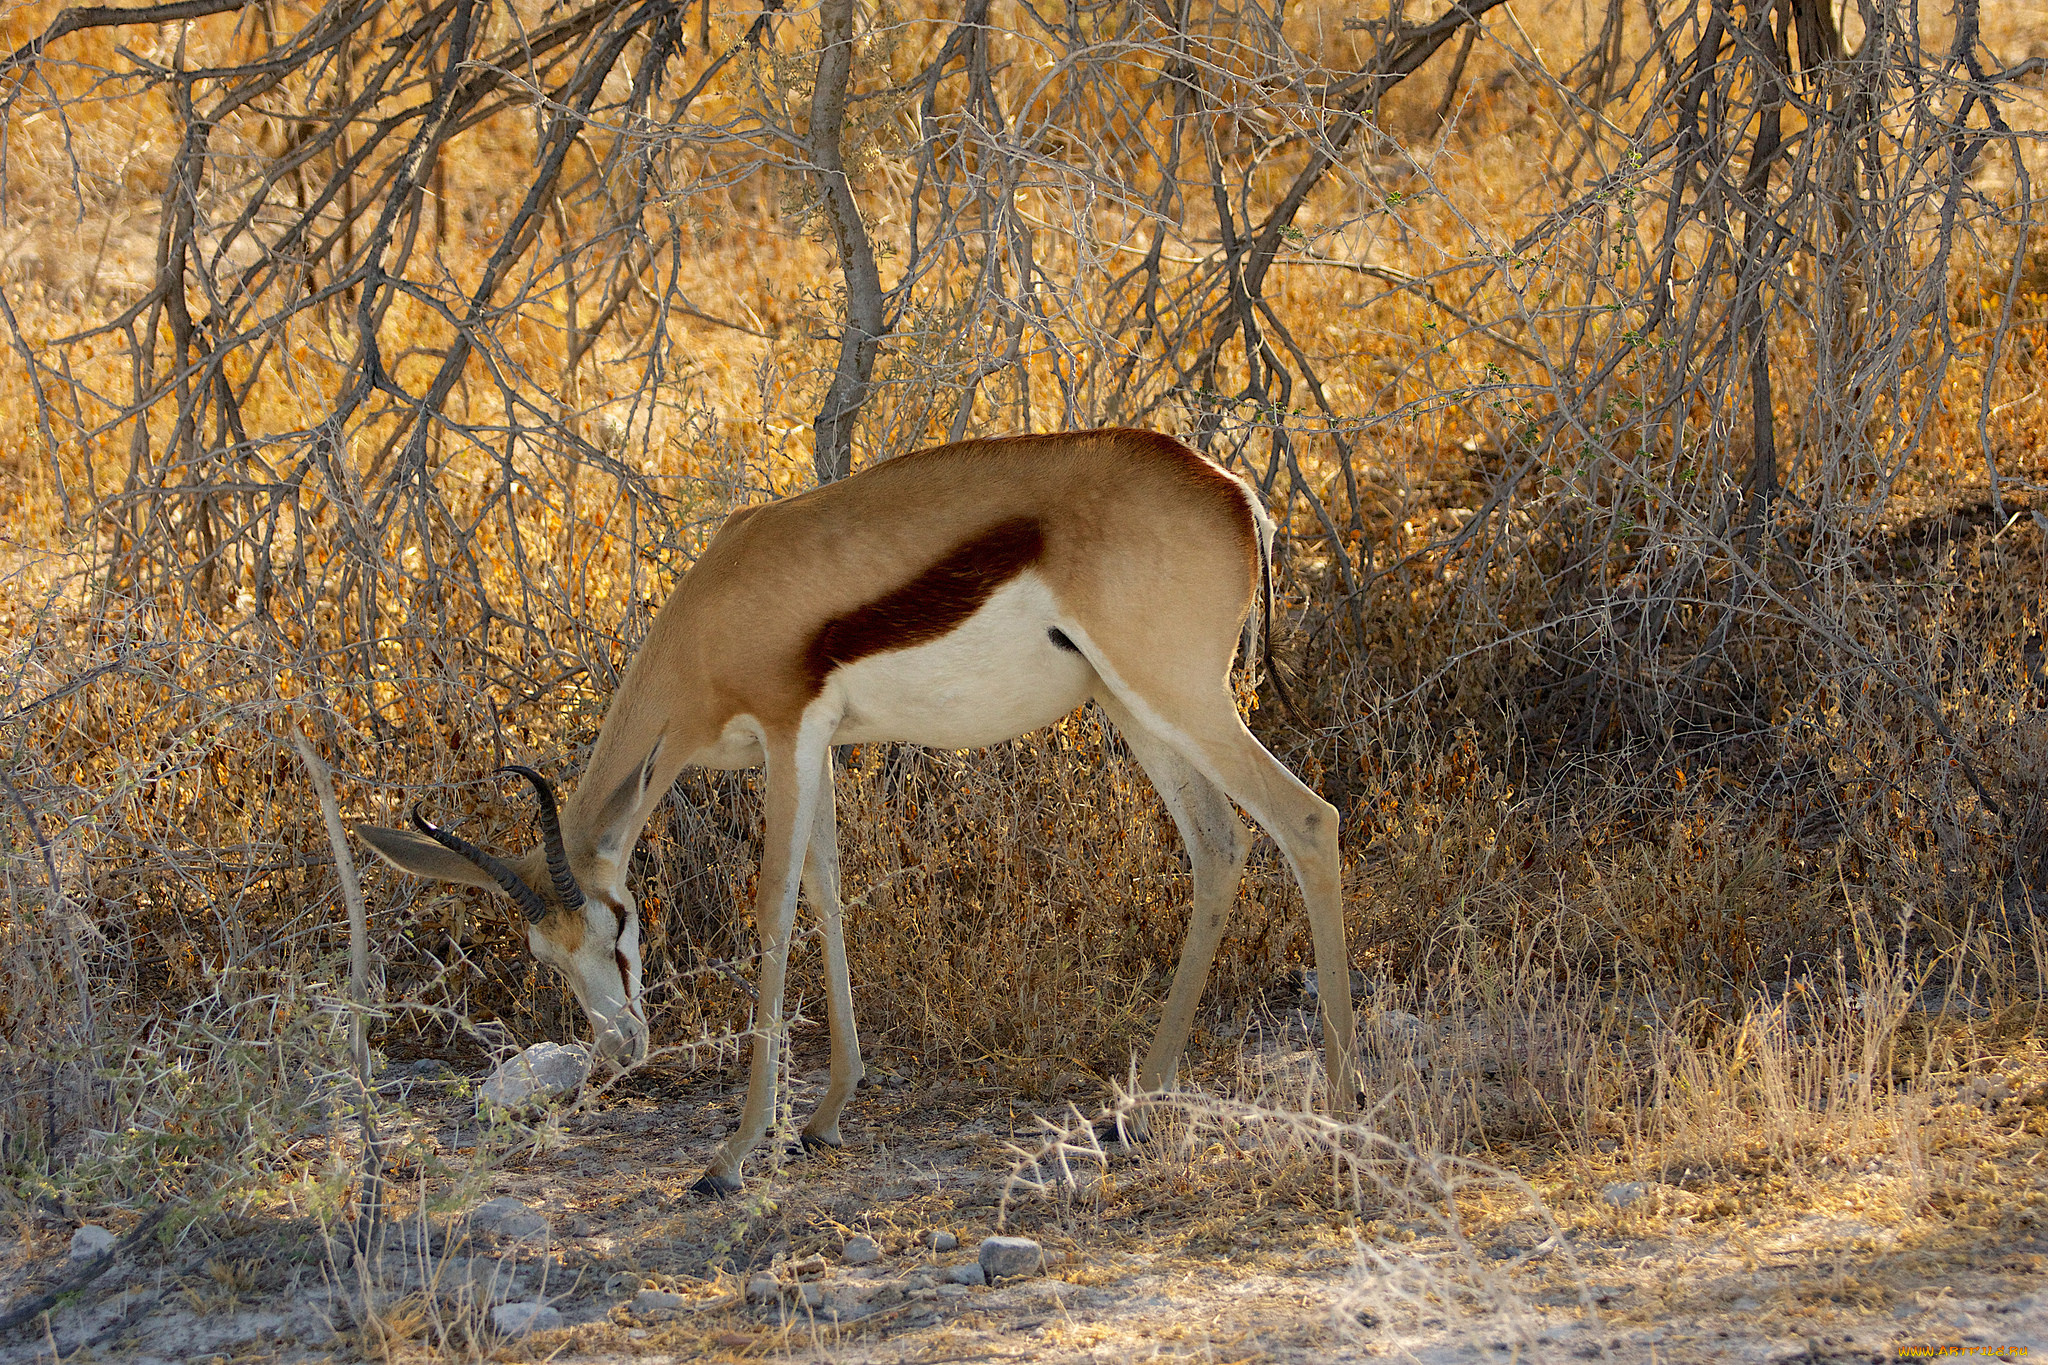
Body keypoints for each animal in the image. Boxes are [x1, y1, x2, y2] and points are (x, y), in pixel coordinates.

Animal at [360, 429, 1359, 1195]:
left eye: (620, 922)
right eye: (546, 956)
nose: (623, 1046)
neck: (717, 613)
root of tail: (1232, 491)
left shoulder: (789, 728)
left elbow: (773, 906)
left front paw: (731, 1155)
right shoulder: (819, 743)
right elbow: (827, 889)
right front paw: (826, 1114)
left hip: (1178, 695)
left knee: (1308, 820)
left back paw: (1346, 1106)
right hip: (1131, 703)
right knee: (1219, 846)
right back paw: (1136, 1107)